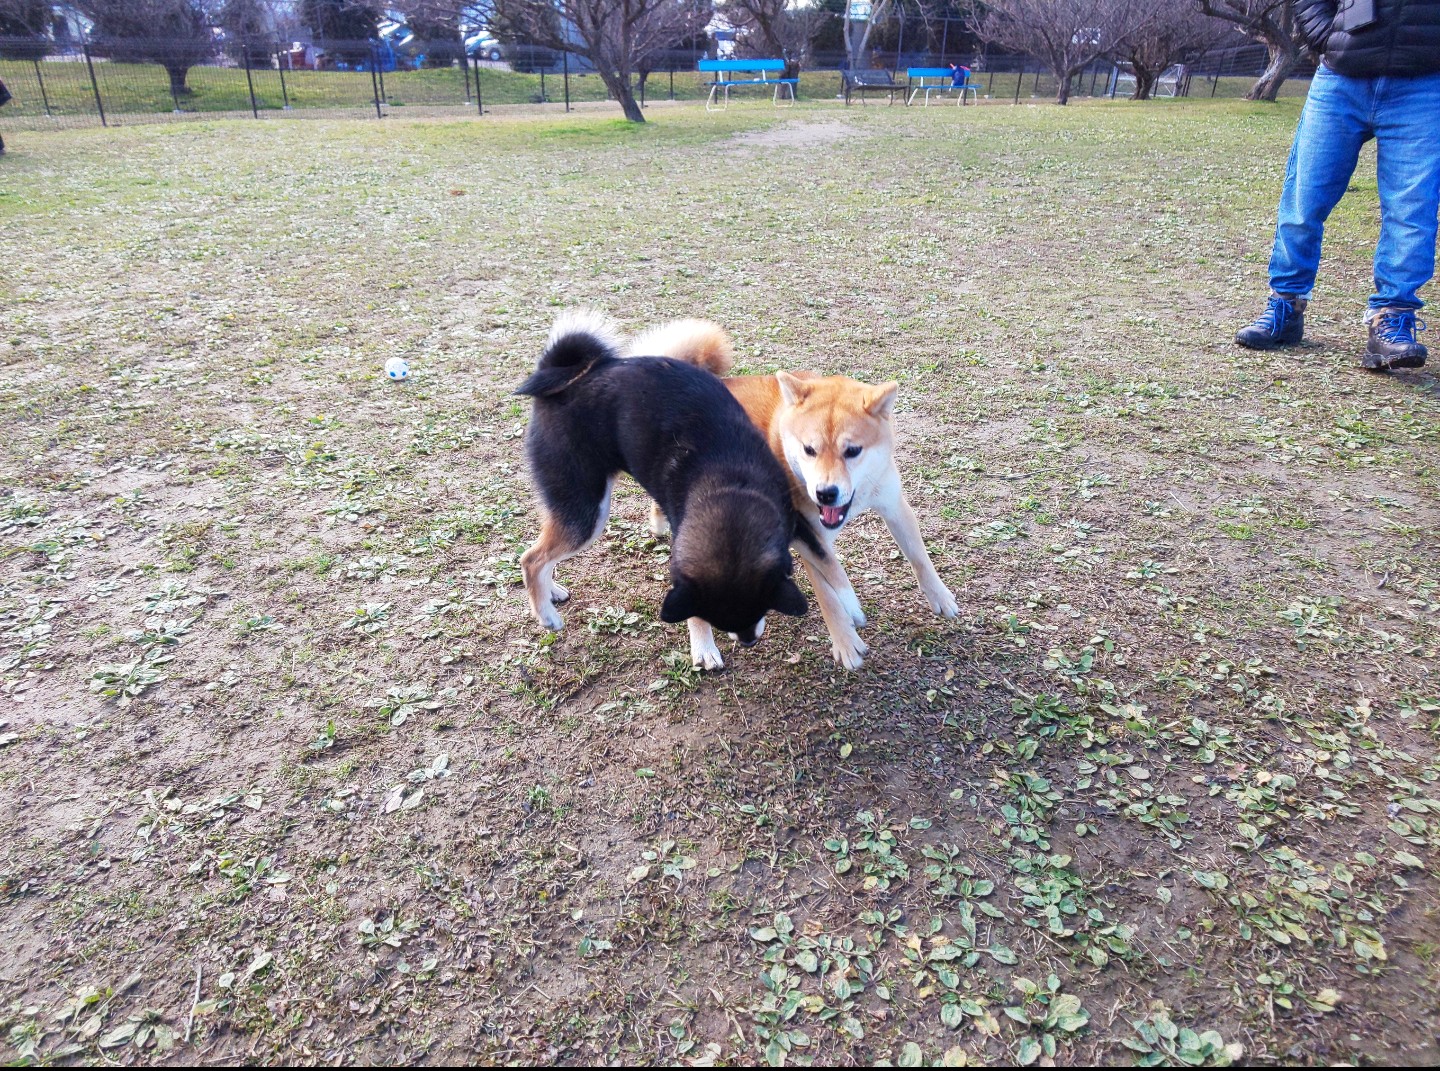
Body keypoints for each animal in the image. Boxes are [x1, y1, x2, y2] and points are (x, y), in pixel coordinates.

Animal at [518, 305, 812, 665]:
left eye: (761, 610)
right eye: (718, 619)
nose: (747, 641)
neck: (732, 483)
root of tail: (567, 378)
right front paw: (704, 647)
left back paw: (553, 592)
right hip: (585, 509)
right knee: (532, 559)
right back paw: (546, 614)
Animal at [627, 318, 956, 667]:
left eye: (852, 451)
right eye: (809, 449)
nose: (825, 493)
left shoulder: (893, 505)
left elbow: (919, 556)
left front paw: (940, 596)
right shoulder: (807, 534)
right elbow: (830, 594)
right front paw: (847, 641)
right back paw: (704, 645)